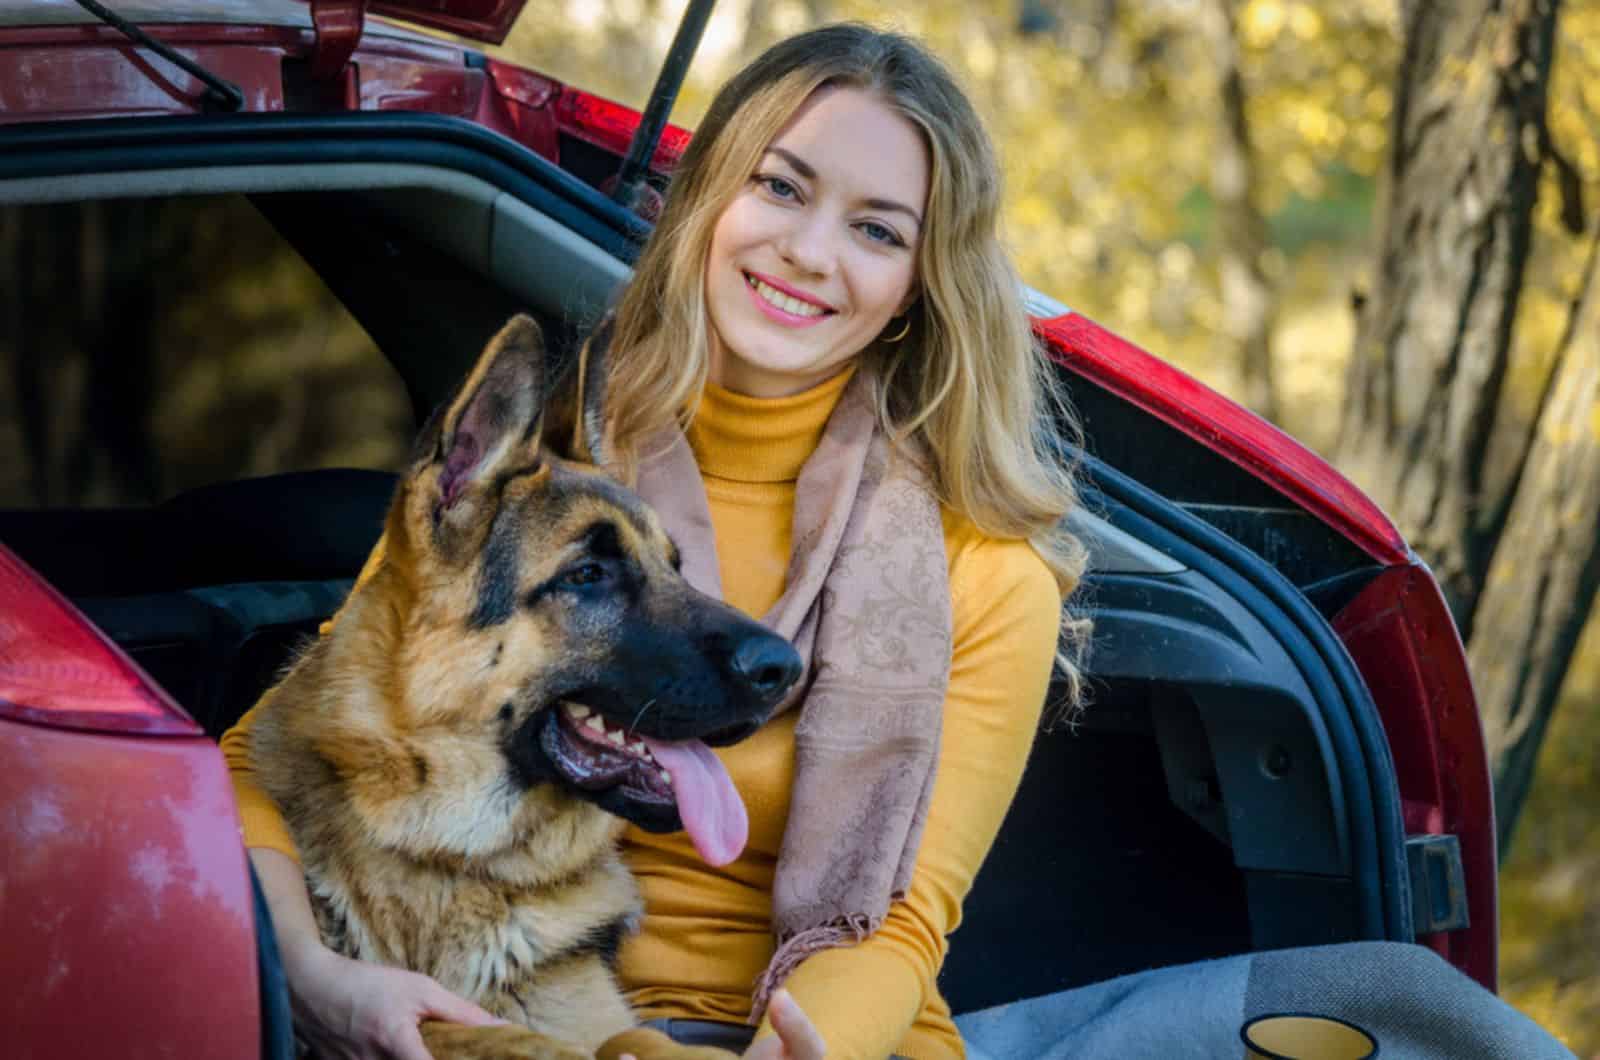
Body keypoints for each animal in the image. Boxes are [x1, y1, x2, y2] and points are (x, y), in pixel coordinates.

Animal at [252, 317, 800, 1060]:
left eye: (674, 566)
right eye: (588, 574)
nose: (785, 668)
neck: (458, 857)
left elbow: (635, 1039)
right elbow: (484, 1034)